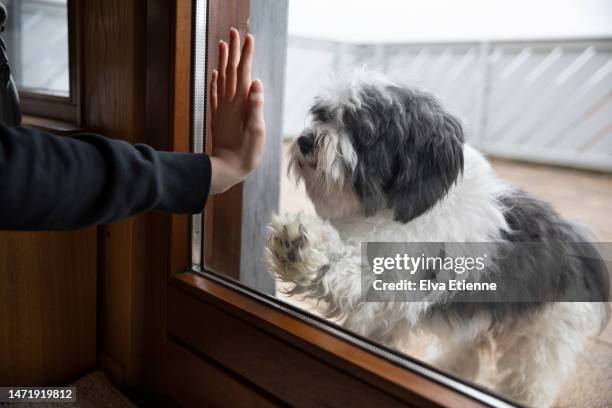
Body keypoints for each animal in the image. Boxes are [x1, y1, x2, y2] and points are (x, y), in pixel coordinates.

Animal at [266, 71, 608, 406]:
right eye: (322, 115)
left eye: (361, 128)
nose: (305, 140)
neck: (394, 210)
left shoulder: (398, 280)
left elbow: (353, 272)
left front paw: (304, 248)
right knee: (466, 352)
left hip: (541, 338)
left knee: (532, 380)